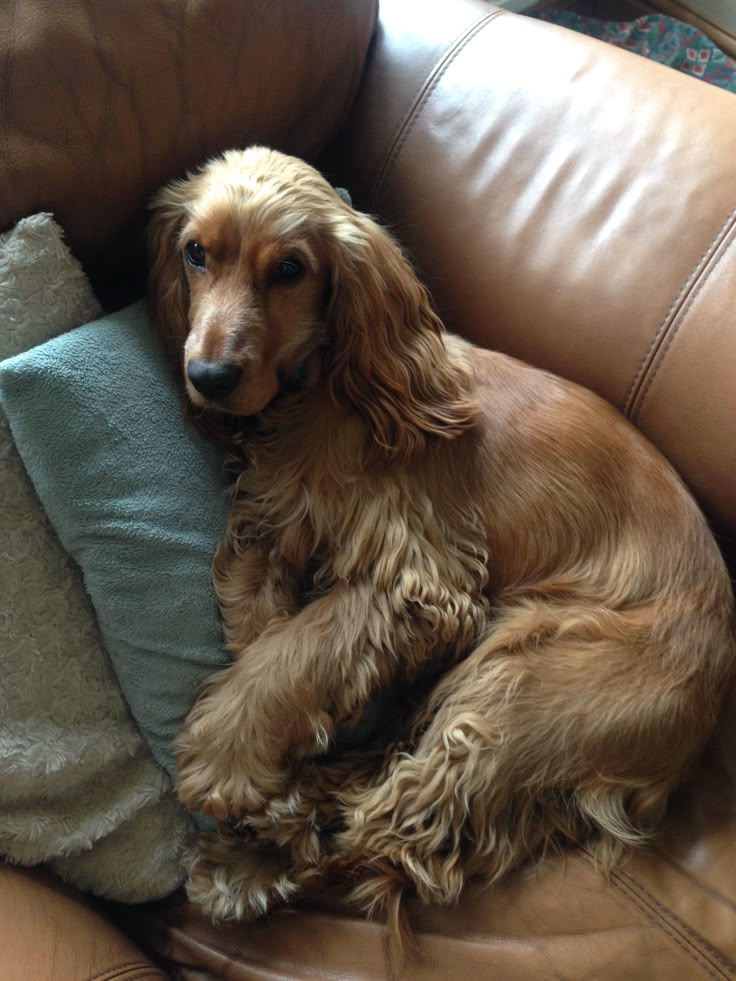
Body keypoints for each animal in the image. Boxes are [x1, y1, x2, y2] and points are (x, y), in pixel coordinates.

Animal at [148, 144, 736, 936]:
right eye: (196, 253)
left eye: (291, 269)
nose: (209, 376)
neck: (328, 396)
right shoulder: (271, 524)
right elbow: (262, 634)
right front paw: (276, 757)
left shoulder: (423, 582)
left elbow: (300, 646)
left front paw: (224, 755)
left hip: (517, 684)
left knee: (398, 837)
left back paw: (258, 858)